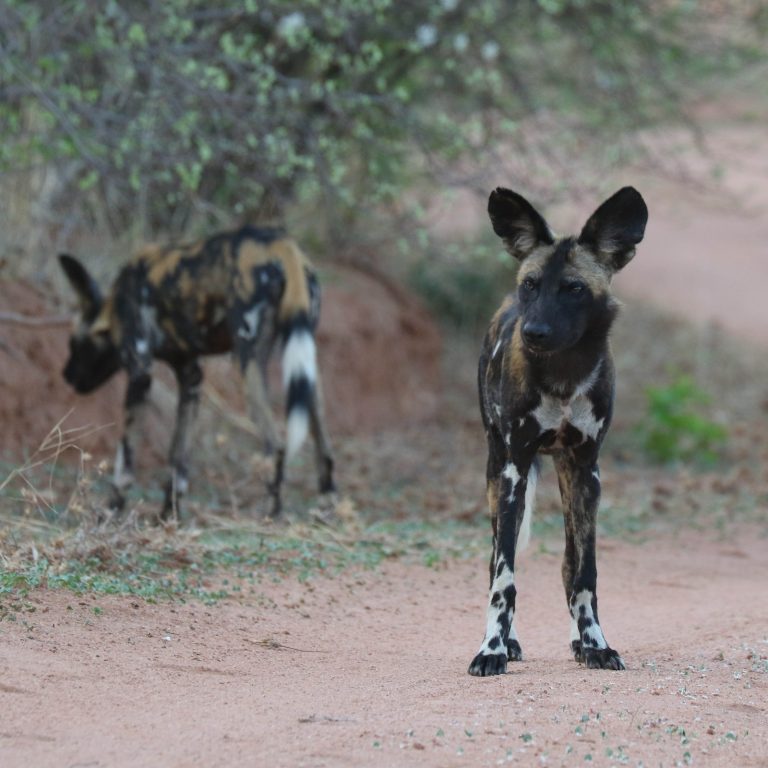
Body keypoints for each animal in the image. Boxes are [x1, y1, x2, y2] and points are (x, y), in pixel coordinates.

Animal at [58, 225, 334, 520]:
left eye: (73, 344)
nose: (66, 375)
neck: (115, 306)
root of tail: (279, 245)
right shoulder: (190, 376)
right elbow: (178, 455)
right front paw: (169, 514)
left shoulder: (140, 373)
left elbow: (126, 456)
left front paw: (111, 510)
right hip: (303, 359)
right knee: (324, 449)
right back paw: (326, 510)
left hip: (246, 361)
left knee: (277, 446)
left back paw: (270, 514)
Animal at [468, 186, 648, 680]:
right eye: (531, 284)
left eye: (574, 289)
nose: (535, 331)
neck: (564, 375)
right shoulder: (514, 468)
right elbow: (504, 577)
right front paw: (492, 649)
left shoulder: (587, 470)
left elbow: (584, 573)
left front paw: (595, 645)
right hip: (497, 472)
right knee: (496, 558)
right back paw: (508, 642)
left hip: (568, 476)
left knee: (570, 563)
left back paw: (578, 642)